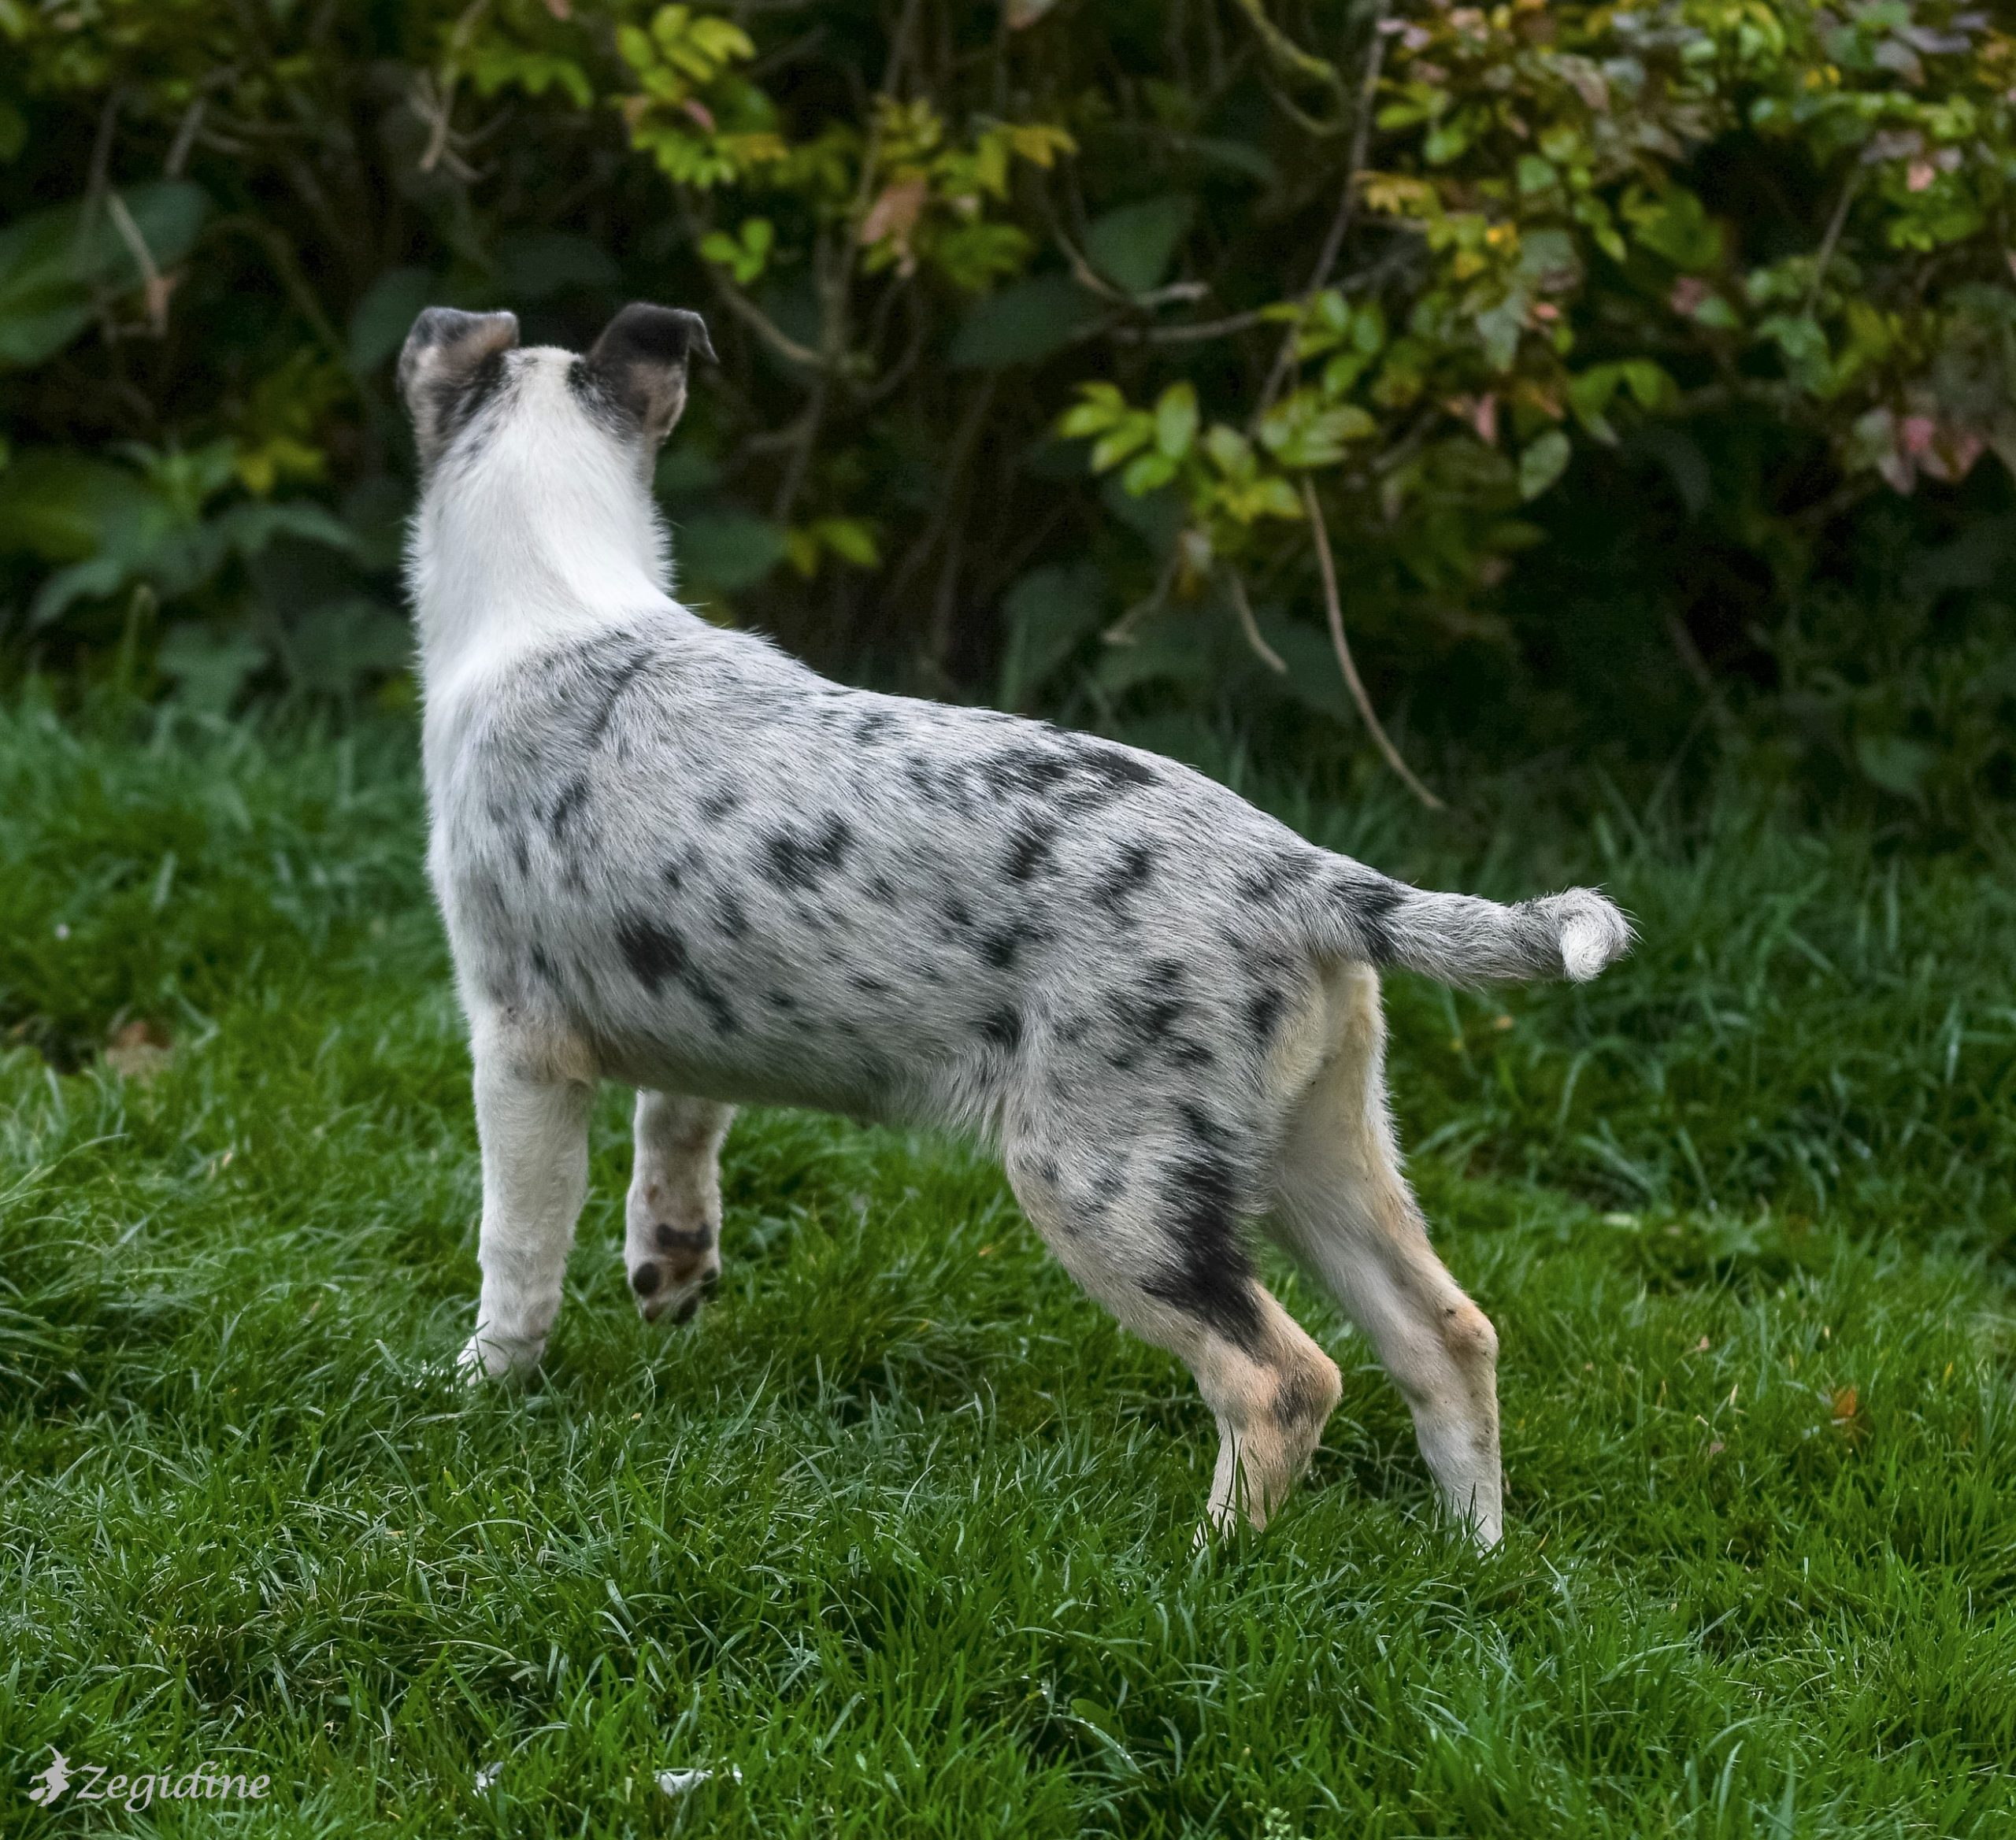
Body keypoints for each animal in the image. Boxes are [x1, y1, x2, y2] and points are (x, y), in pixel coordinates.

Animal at [401, 304, 1629, 1547]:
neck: (558, 593)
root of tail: (1306, 876)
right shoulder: (688, 1002)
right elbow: (681, 1126)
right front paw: (670, 1270)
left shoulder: (518, 1042)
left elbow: (518, 1244)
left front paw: (480, 1387)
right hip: (1318, 1147)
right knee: (1447, 1335)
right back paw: (1474, 1555)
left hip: (1100, 1176)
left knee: (1279, 1377)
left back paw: (1206, 1565)